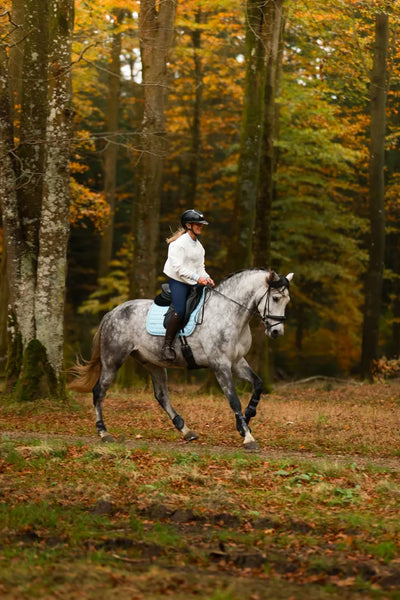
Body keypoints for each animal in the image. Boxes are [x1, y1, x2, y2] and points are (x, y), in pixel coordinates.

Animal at [68, 268, 294, 450]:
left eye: (287, 301)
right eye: (275, 298)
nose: (277, 332)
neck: (229, 313)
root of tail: (112, 313)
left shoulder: (237, 362)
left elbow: (258, 384)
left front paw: (246, 419)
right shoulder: (220, 364)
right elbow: (233, 400)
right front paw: (247, 436)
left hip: (153, 363)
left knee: (161, 396)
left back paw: (186, 431)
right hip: (113, 360)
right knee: (99, 391)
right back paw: (103, 432)